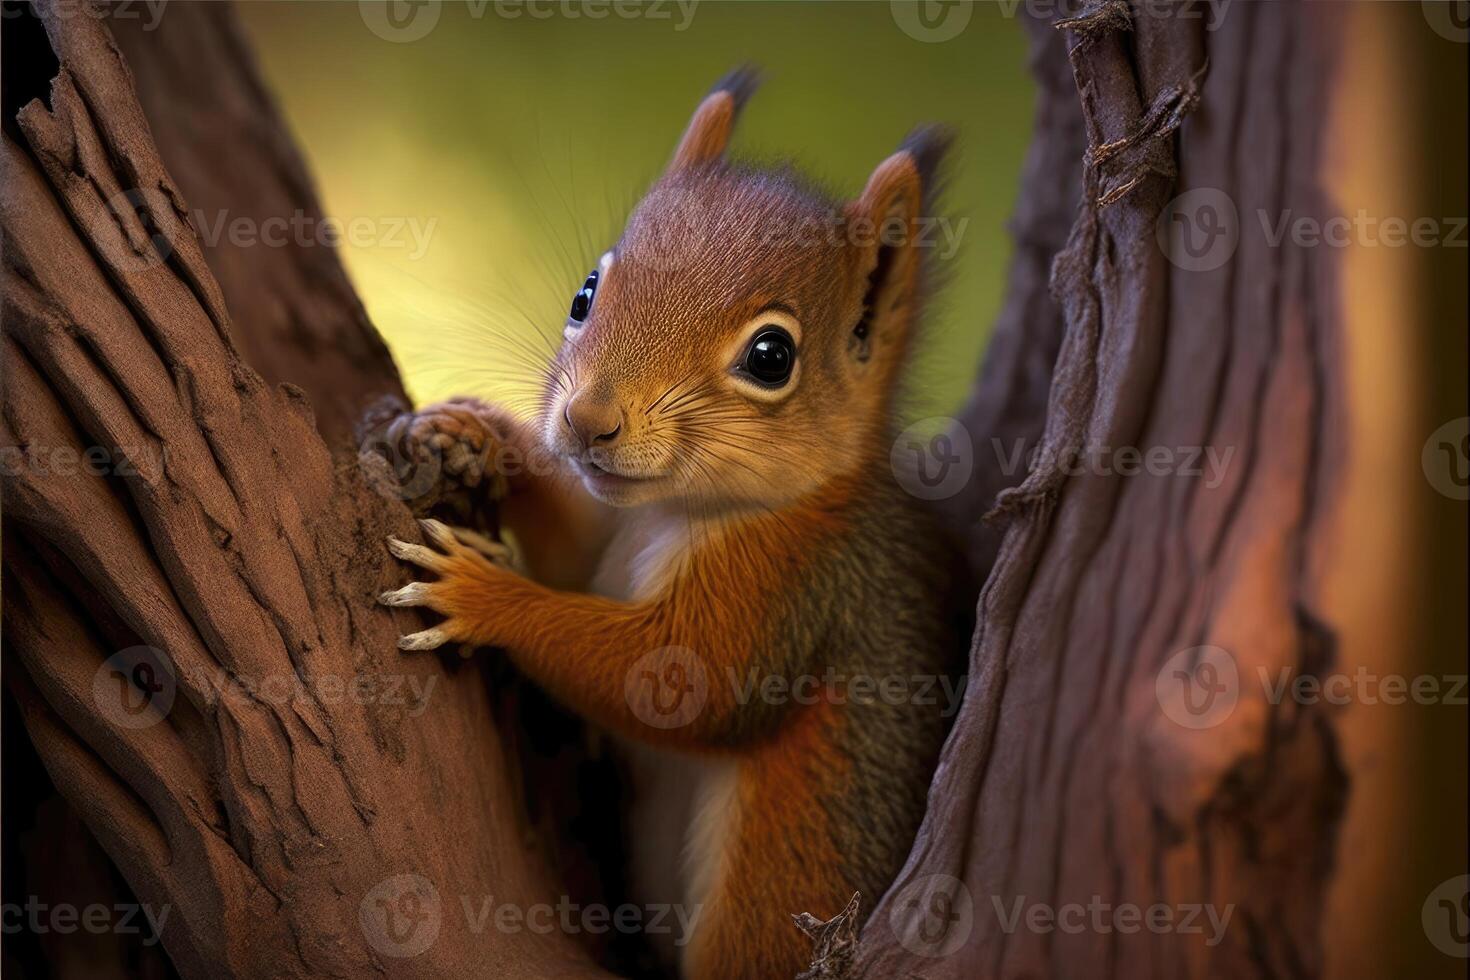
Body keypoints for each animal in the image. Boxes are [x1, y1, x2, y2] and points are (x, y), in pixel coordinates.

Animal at [382, 69, 964, 980]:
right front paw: (479, 432)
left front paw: (481, 594)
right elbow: (571, 559)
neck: (666, 514)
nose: (588, 422)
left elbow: (674, 683)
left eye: (772, 357)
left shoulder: (794, 587)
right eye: (586, 293)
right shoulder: (603, 539)